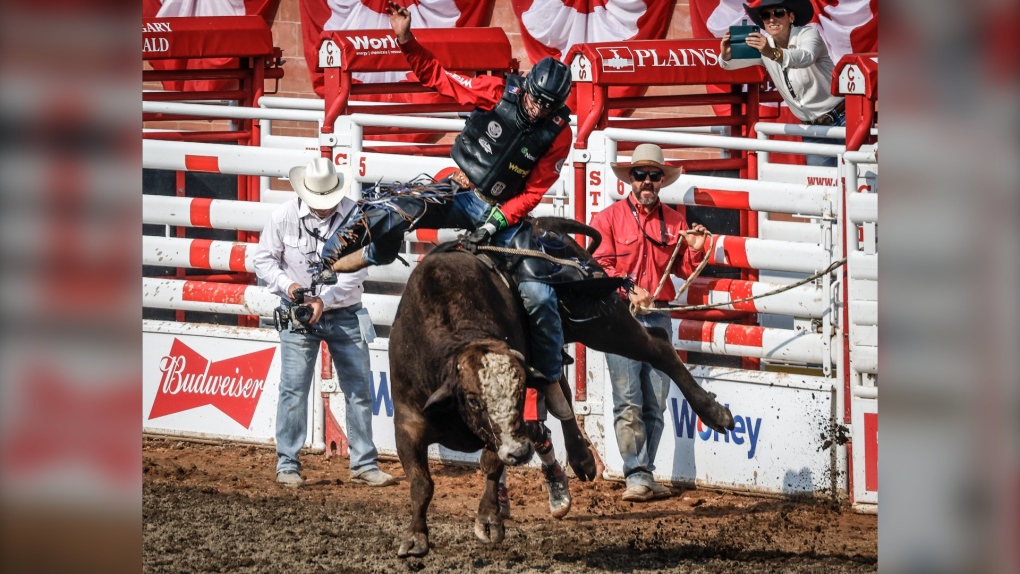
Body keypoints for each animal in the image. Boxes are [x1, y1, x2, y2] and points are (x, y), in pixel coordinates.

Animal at [383, 218, 734, 558]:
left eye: (519, 392)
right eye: (472, 400)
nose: (519, 452)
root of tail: (543, 226)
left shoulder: (506, 428)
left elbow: (491, 464)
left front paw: (489, 520)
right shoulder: (407, 422)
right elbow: (421, 482)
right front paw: (415, 538)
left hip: (599, 319)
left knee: (656, 347)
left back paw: (715, 413)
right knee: (560, 387)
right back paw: (580, 458)